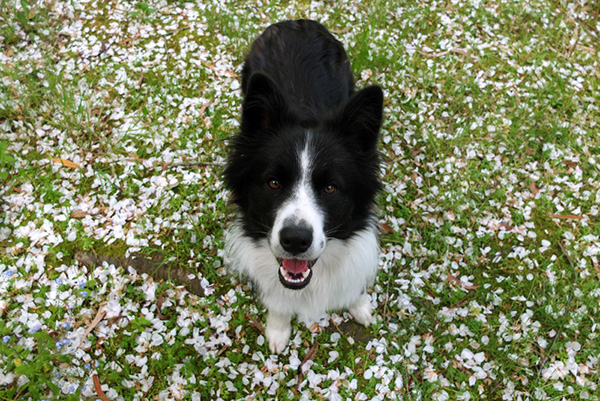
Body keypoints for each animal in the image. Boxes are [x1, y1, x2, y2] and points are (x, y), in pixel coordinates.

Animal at [223, 19, 382, 354]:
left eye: (331, 188)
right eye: (273, 182)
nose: (295, 240)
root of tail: (295, 22)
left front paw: (360, 305)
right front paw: (277, 329)